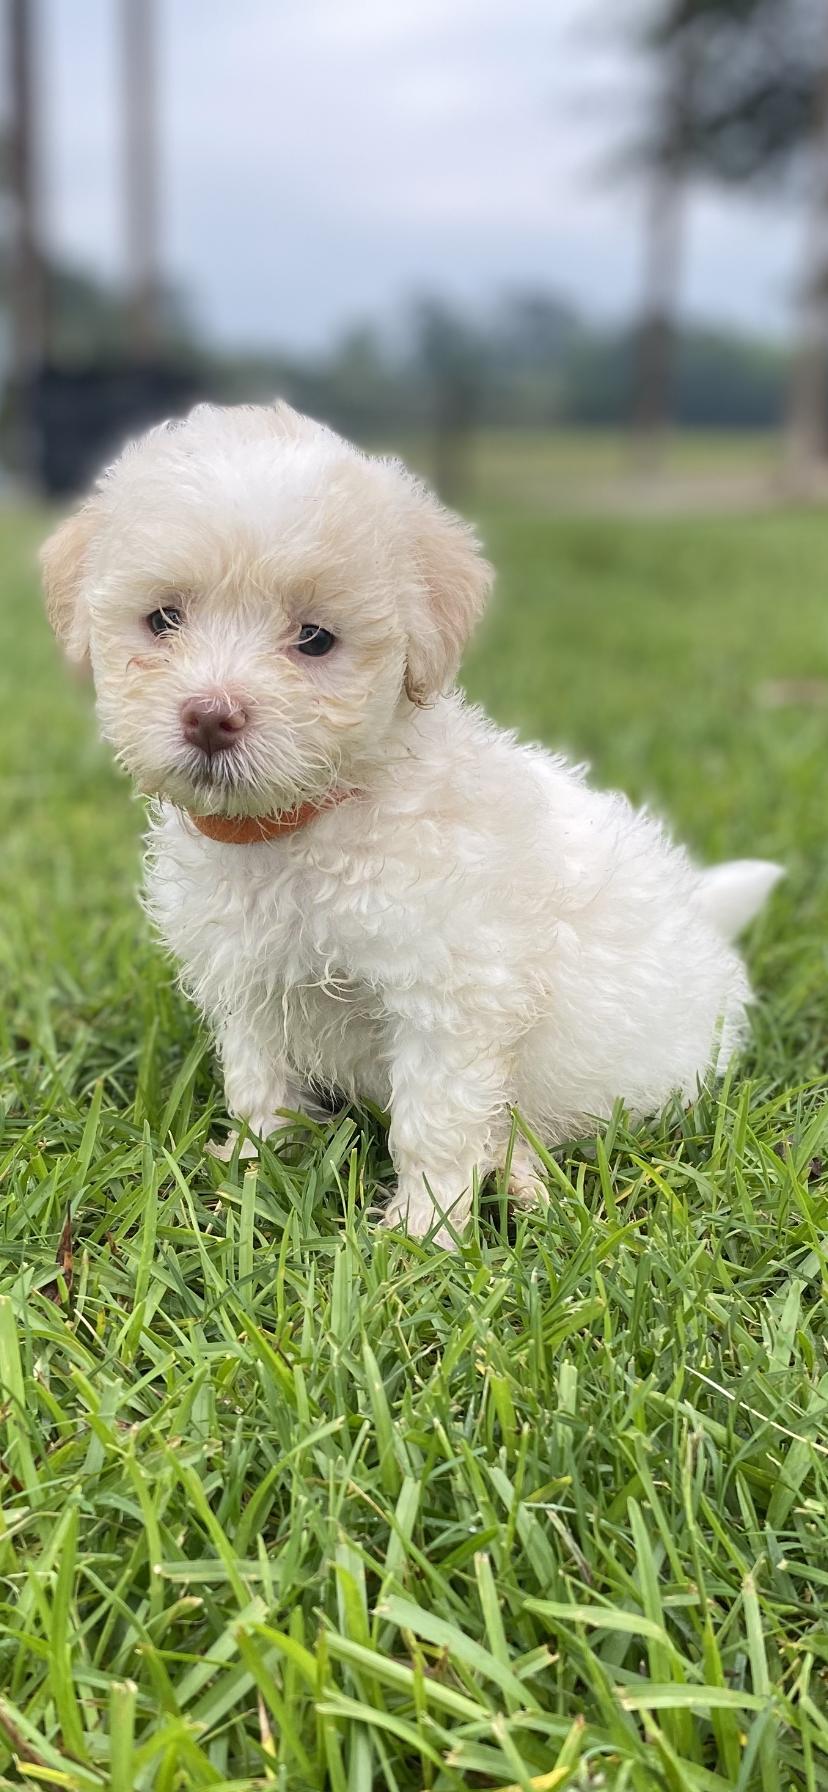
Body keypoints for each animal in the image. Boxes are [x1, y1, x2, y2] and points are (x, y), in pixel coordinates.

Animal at [41, 401, 781, 1245]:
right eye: (164, 619)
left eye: (315, 638)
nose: (210, 717)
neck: (302, 823)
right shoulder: (251, 985)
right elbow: (260, 1082)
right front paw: (254, 1170)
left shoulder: (449, 993)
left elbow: (434, 1119)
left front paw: (421, 1233)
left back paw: (523, 1183)